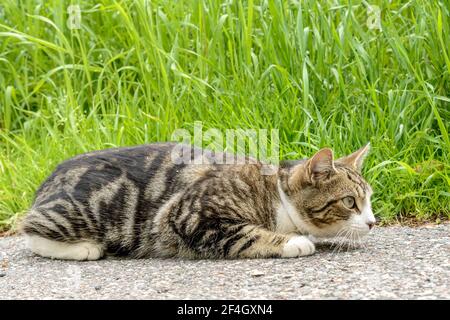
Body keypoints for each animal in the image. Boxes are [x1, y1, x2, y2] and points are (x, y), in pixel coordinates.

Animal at [21, 142, 374, 260]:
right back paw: (84, 248)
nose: (372, 223)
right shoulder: (189, 215)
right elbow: (246, 234)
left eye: (369, 201)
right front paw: (293, 242)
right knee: (30, 228)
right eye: (350, 202)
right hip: (82, 211)